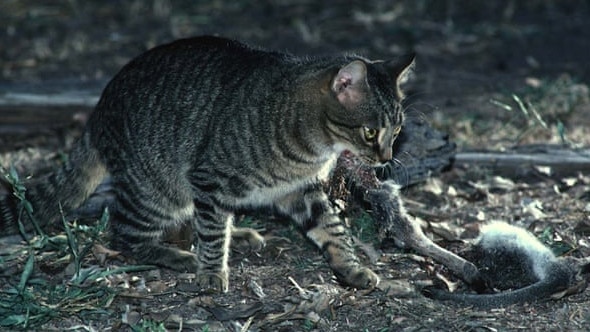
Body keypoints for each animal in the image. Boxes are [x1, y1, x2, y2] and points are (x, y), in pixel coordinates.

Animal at [1, 35, 416, 292]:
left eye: (396, 131)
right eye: (369, 132)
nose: (386, 159)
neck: (314, 146)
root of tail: (98, 110)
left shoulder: (301, 190)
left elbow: (332, 227)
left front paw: (349, 265)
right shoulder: (209, 178)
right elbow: (213, 234)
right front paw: (213, 272)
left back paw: (234, 235)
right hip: (156, 190)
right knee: (125, 235)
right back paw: (178, 255)